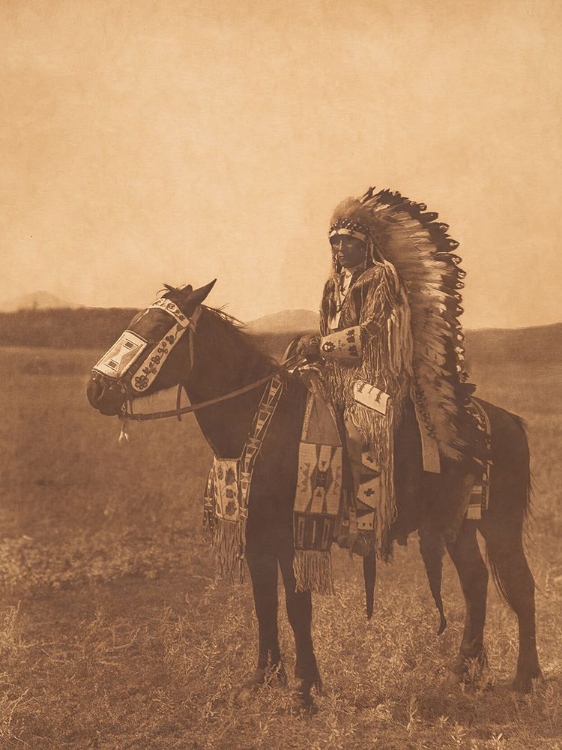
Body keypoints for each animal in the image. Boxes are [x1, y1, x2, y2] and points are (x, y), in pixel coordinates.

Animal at [85, 280, 540, 708]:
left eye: (157, 328)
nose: (96, 389)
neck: (261, 421)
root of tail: (507, 420)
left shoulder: (294, 537)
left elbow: (296, 607)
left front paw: (304, 689)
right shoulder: (258, 537)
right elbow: (264, 605)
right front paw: (263, 679)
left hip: (499, 525)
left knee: (520, 584)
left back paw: (525, 680)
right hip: (458, 524)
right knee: (476, 581)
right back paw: (465, 670)